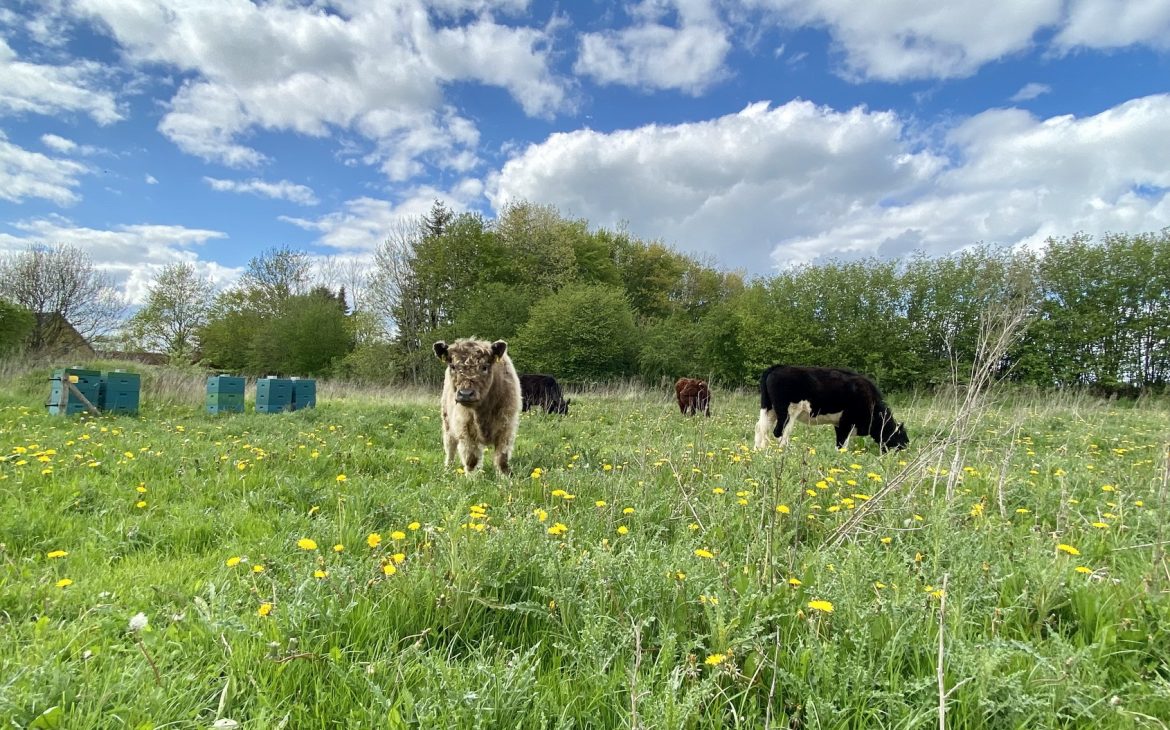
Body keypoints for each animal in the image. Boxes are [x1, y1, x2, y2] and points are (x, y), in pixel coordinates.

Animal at [432, 336, 519, 477]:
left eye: (484, 367)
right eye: (453, 366)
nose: (465, 394)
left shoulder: (506, 428)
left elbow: (502, 458)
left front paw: (505, 477)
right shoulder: (465, 429)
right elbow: (471, 459)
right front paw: (472, 478)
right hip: (447, 423)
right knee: (450, 449)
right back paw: (447, 470)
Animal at [753, 365, 907, 451]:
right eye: (902, 436)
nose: (906, 447)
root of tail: (778, 367)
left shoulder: (839, 423)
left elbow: (839, 442)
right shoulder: (847, 422)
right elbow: (843, 443)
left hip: (768, 408)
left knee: (761, 427)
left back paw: (758, 450)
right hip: (788, 411)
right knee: (780, 432)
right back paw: (786, 450)